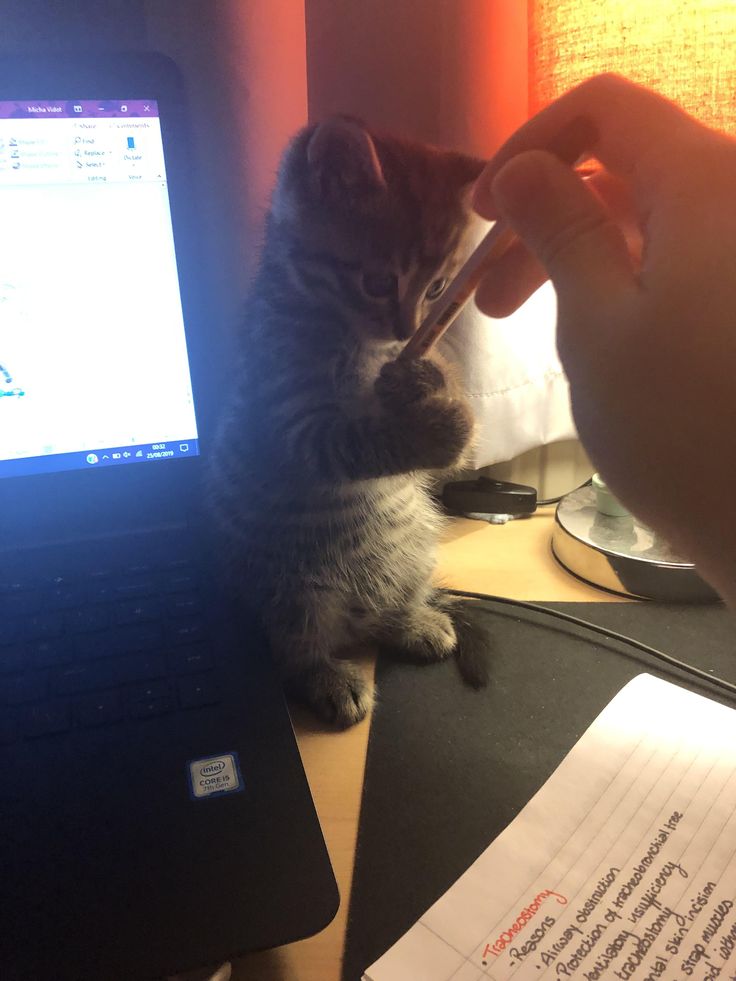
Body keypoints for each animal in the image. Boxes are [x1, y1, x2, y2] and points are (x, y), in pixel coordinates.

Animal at [208, 117, 488, 728]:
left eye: (438, 288)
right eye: (379, 282)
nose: (406, 328)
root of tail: (352, 621)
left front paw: (427, 379)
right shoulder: (294, 422)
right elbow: (363, 441)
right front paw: (441, 429)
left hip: (412, 549)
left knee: (389, 609)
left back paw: (414, 622)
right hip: (293, 594)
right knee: (295, 651)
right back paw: (330, 679)